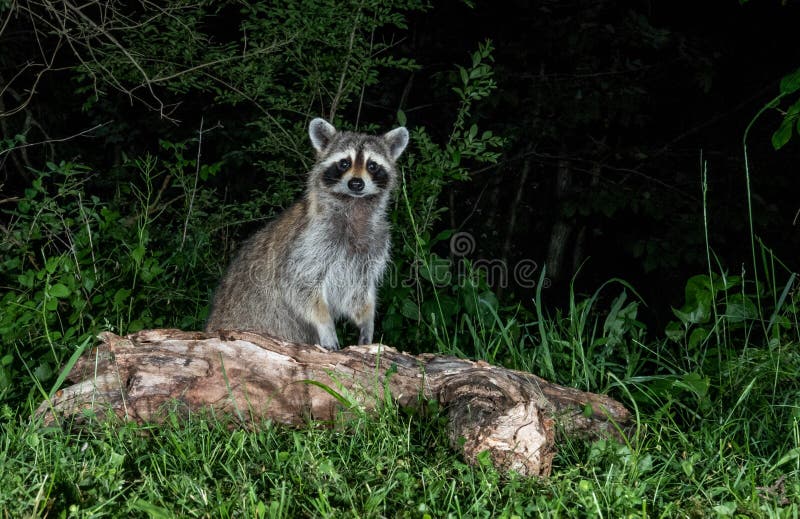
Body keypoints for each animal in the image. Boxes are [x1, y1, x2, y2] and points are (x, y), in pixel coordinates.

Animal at [205, 118, 409, 351]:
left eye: (372, 165)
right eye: (344, 163)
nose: (356, 183)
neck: (354, 204)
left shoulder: (374, 242)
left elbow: (357, 291)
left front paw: (367, 320)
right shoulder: (310, 240)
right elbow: (299, 284)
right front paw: (325, 323)